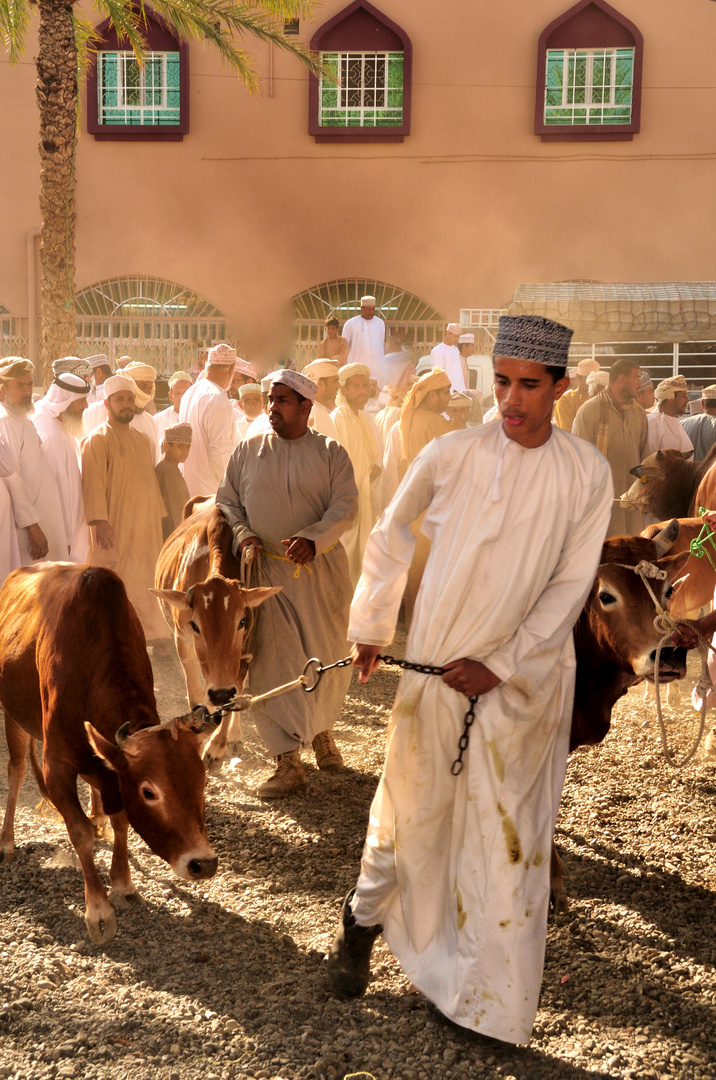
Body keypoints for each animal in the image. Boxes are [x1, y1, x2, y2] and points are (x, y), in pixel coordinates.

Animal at [0, 565, 218, 946]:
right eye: (149, 792)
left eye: (202, 783)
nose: (203, 863)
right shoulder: (56, 768)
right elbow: (79, 832)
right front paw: (99, 910)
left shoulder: (113, 771)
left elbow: (121, 821)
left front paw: (124, 883)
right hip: (13, 716)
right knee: (16, 770)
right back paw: (8, 842)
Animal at [152, 501, 278, 773]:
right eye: (195, 625)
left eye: (241, 621)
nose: (220, 693)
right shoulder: (182, 639)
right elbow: (195, 696)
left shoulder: (244, 647)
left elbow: (236, 694)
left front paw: (216, 747)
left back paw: (234, 738)